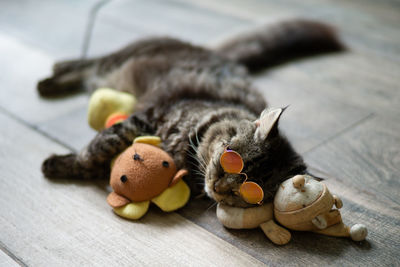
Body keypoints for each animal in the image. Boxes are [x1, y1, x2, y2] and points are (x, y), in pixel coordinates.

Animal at [38, 19, 344, 208]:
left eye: (247, 191)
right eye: (230, 158)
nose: (219, 186)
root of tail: (218, 55)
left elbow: (97, 160)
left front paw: (64, 164)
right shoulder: (143, 120)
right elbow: (96, 149)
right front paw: (56, 164)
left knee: (87, 68)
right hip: (117, 63)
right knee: (87, 63)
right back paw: (51, 78)